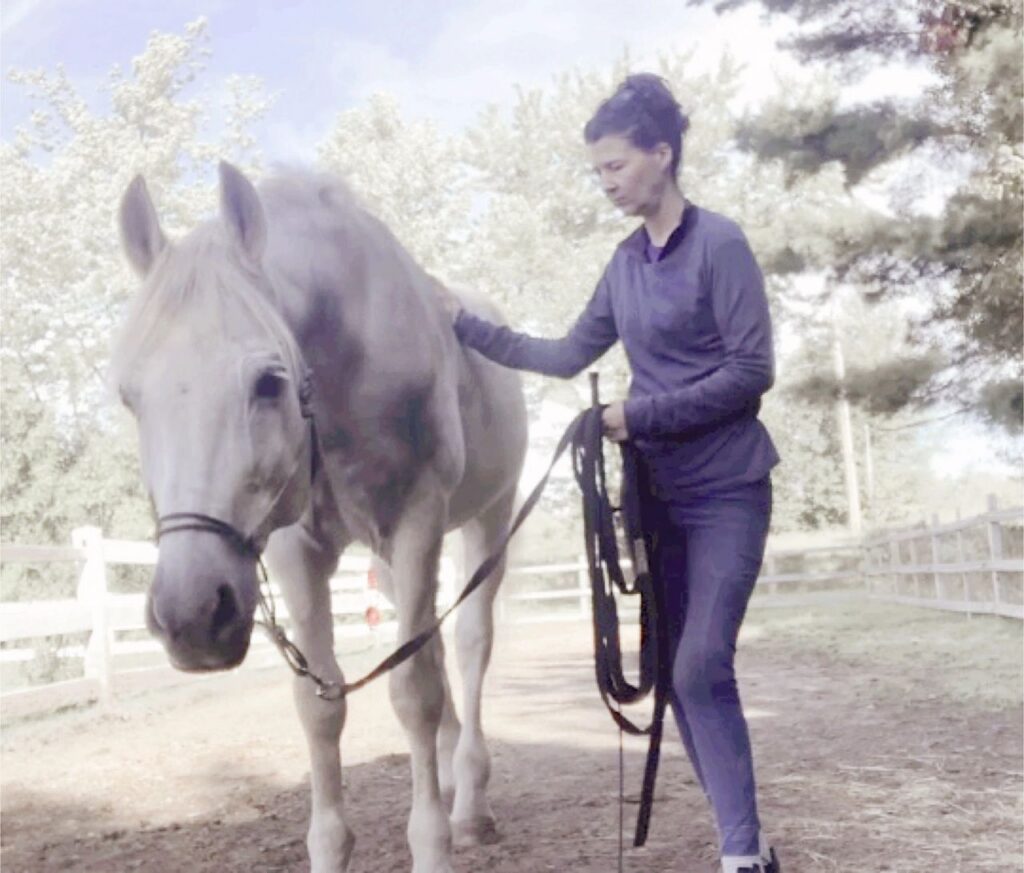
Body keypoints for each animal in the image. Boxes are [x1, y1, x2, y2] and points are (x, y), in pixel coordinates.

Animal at [112, 162, 528, 873]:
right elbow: (321, 704)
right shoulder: (294, 548)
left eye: (268, 383)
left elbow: (414, 690)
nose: (191, 617)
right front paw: (332, 845)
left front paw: (433, 841)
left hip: (488, 520)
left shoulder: (417, 520)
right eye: (129, 397)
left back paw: (470, 800)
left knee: (471, 644)